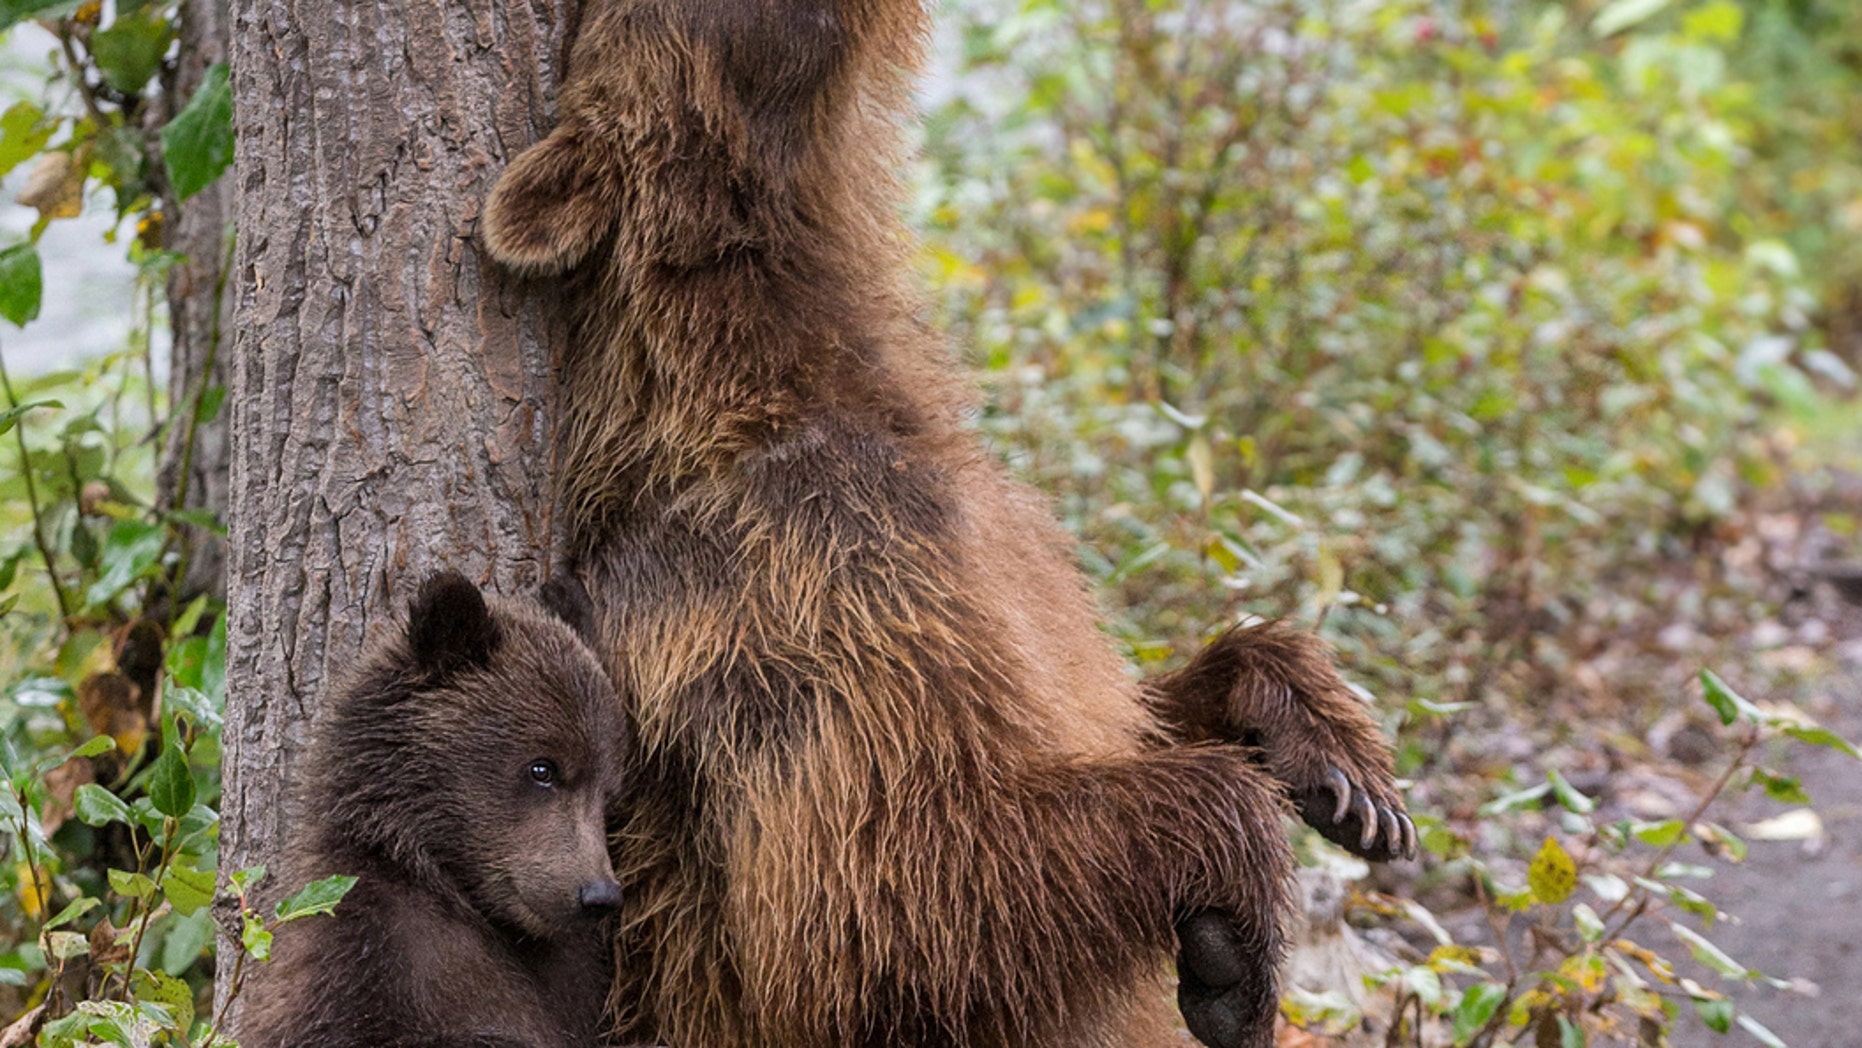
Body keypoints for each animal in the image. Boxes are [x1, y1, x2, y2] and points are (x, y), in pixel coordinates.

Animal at [484, 4, 1407, 1042]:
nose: (1352, 790)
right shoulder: (785, 584)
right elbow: (889, 890)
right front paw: (1235, 954)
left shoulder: (1011, 567)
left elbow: (1128, 704)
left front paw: (1342, 771)